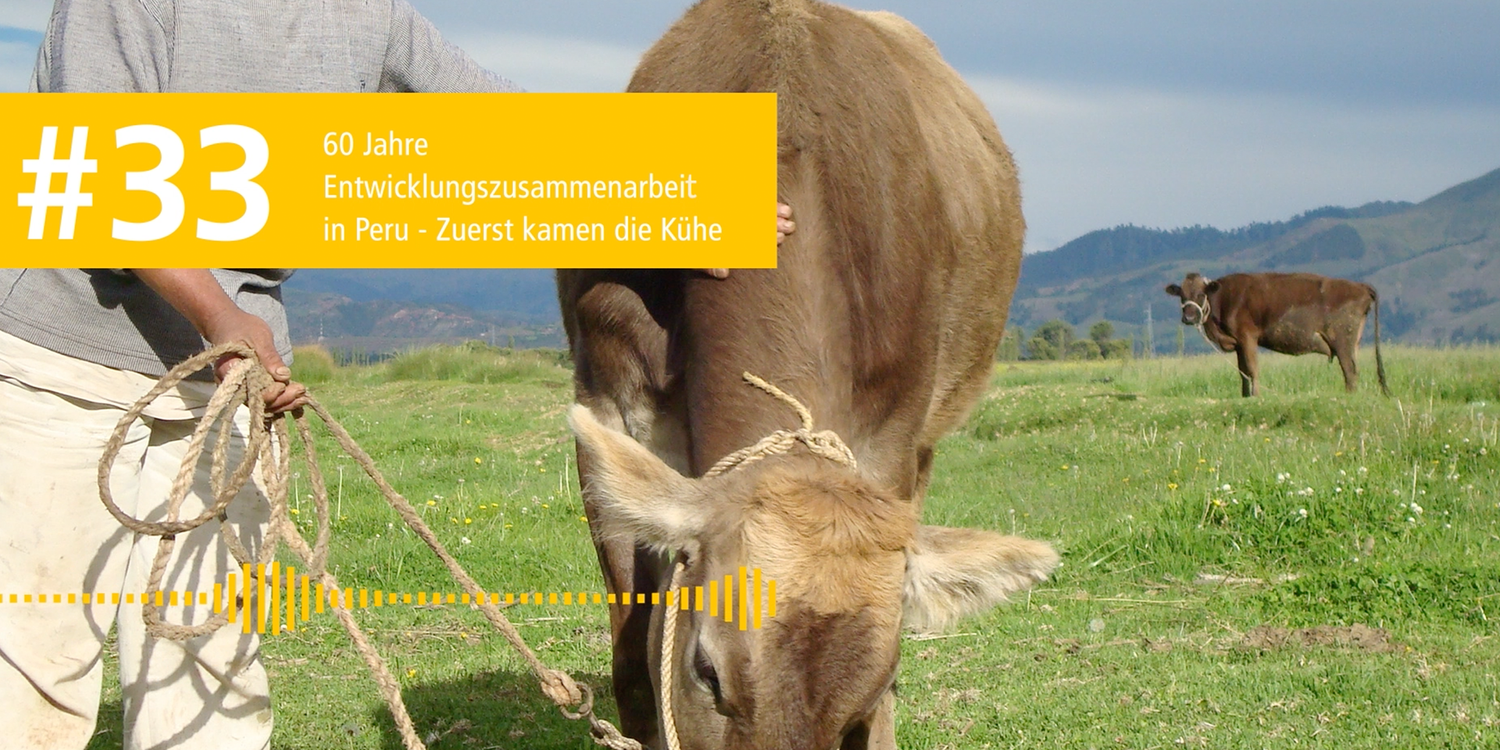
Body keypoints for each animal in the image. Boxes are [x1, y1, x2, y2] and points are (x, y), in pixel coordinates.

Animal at [1164, 272, 1389, 397]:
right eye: (1182, 294)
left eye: (1201, 294)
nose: (1189, 317)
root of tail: (1360, 286)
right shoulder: (1238, 343)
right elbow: (1243, 372)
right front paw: (1245, 396)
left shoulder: (1248, 337)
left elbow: (1252, 369)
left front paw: (1255, 396)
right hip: (1353, 343)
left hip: (1343, 341)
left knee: (1350, 371)